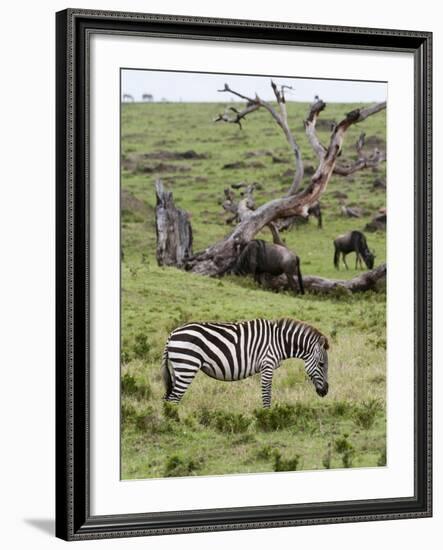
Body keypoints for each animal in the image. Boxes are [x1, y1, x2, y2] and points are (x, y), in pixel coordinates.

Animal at [161, 320, 328, 410]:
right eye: (321, 364)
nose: (325, 391)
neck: (279, 342)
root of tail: (172, 334)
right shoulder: (267, 365)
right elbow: (266, 394)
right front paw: (267, 415)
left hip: (178, 369)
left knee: (168, 398)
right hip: (187, 367)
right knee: (174, 398)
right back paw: (174, 424)